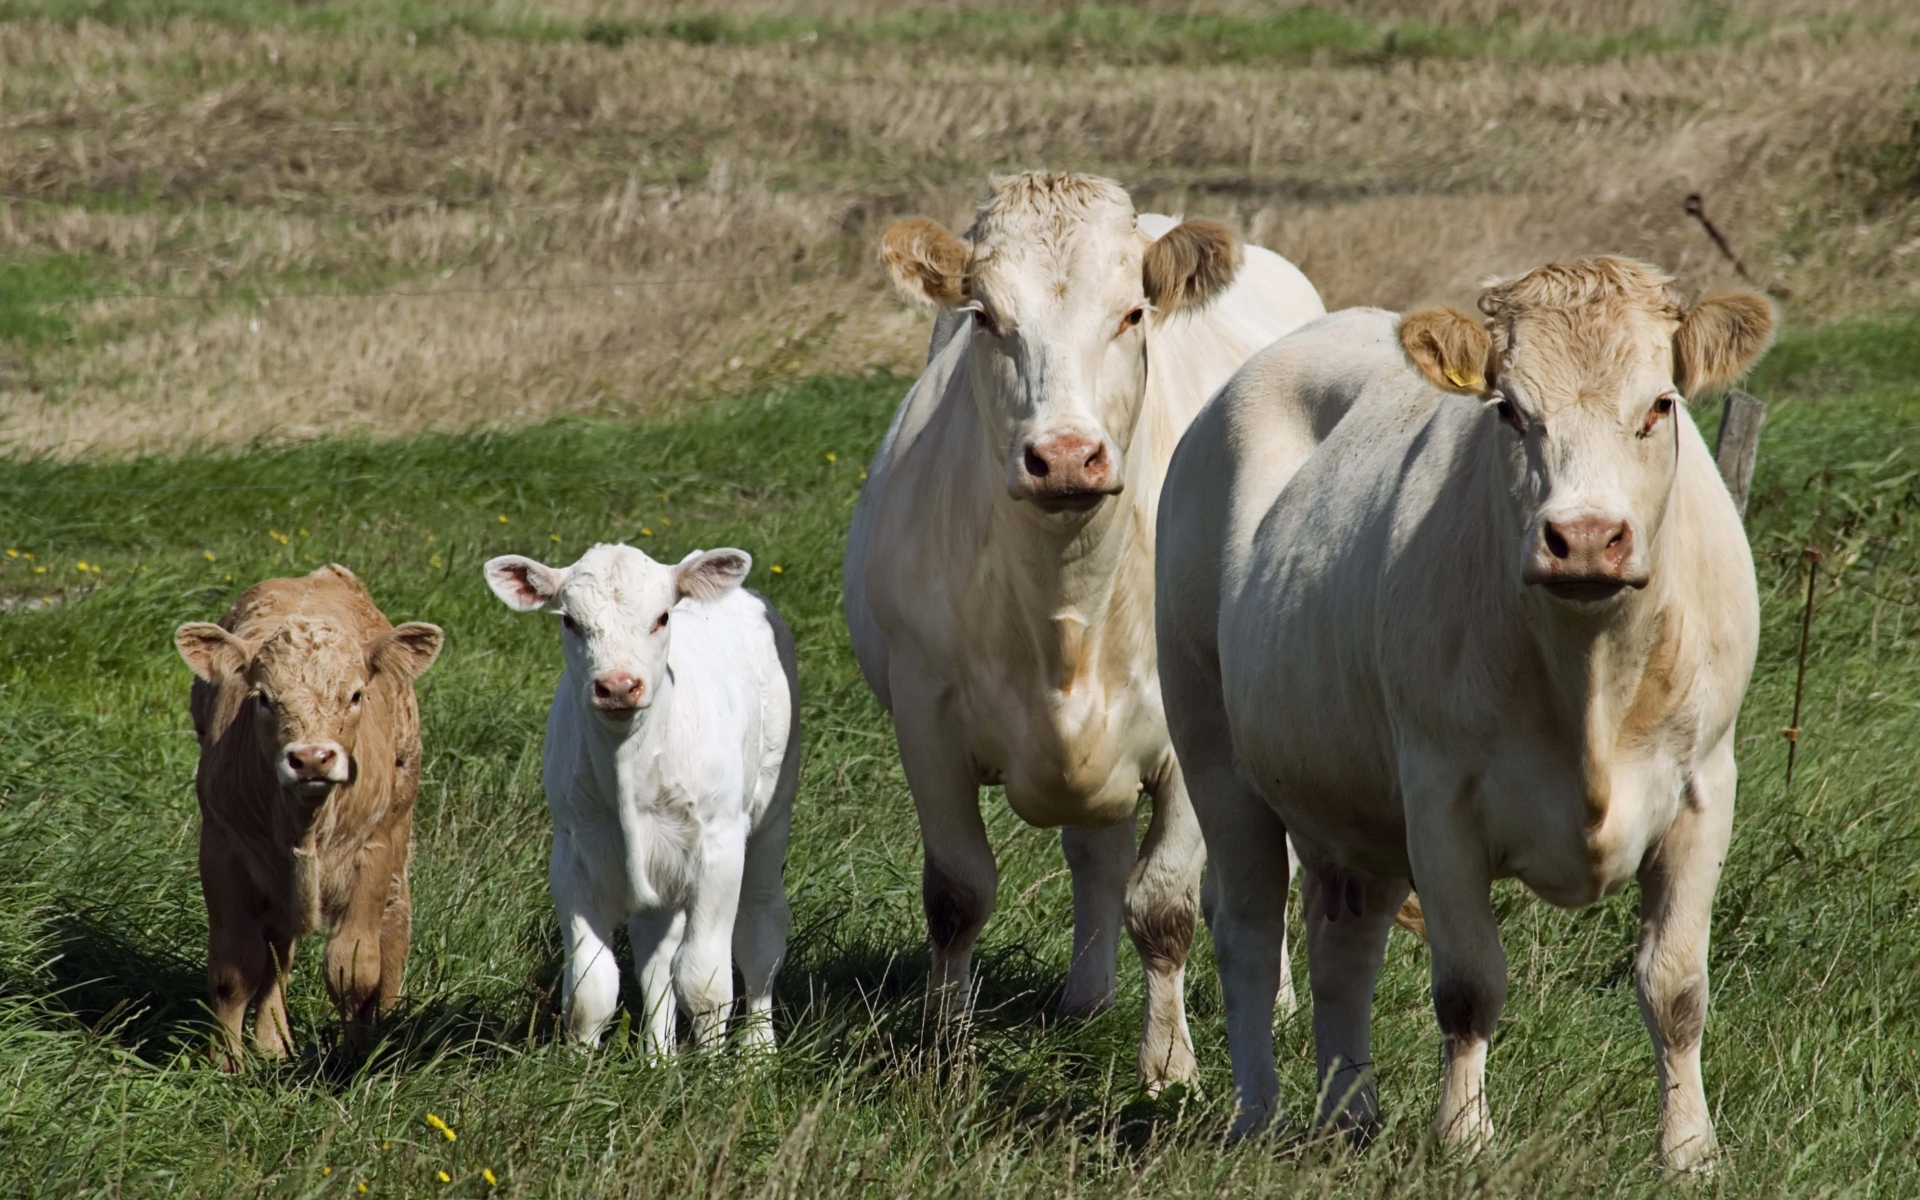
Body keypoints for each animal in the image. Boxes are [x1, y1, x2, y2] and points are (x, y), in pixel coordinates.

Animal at [174, 564, 444, 1070]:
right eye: (263, 697)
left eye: (355, 695)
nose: (312, 759)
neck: (306, 821)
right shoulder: (222, 849)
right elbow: (235, 969)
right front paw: (226, 1063)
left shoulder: (372, 853)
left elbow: (353, 971)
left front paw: (355, 1061)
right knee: (279, 948)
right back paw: (272, 1043)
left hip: (399, 826)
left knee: (394, 920)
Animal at [484, 543, 799, 1054]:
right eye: (570, 620)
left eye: (661, 617)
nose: (617, 685)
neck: (628, 768)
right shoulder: (572, 855)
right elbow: (591, 989)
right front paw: (577, 1068)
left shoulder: (718, 847)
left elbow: (705, 981)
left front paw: (715, 1067)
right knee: (655, 956)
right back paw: (660, 1059)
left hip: (772, 813)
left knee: (760, 933)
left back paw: (757, 1053)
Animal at [844, 170, 1325, 1091]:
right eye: (985, 316)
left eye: (1132, 313)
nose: (1065, 456)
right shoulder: (925, 717)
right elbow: (958, 894)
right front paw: (947, 1052)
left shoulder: (1191, 732)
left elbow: (1167, 903)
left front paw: (1169, 1065)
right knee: (1096, 856)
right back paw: (1088, 999)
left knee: (1256, 870)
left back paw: (1278, 1003)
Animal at [1155, 258, 1773, 1169]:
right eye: (1510, 410)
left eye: (1661, 404)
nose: (1584, 538)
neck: (1590, 679)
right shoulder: (1440, 799)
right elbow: (1470, 986)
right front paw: (1464, 1137)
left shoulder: (1705, 787)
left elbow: (1676, 986)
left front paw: (1689, 1150)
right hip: (1211, 747)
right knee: (1248, 932)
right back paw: (1257, 1115)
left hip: (1347, 797)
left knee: (1344, 949)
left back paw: (1348, 1112)